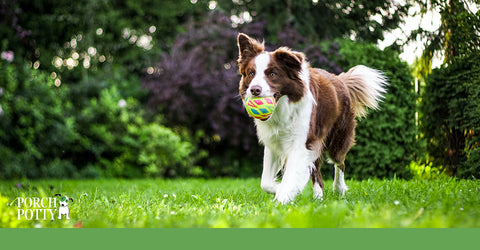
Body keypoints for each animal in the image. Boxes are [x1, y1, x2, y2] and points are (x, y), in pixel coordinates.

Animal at [234, 33, 388, 204]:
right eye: (251, 74)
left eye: (272, 74)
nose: (255, 90)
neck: (283, 109)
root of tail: (340, 80)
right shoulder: (274, 142)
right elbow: (265, 182)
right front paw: (281, 189)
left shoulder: (301, 142)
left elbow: (291, 175)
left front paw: (282, 198)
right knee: (317, 173)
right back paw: (318, 198)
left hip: (337, 138)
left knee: (339, 162)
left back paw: (339, 189)